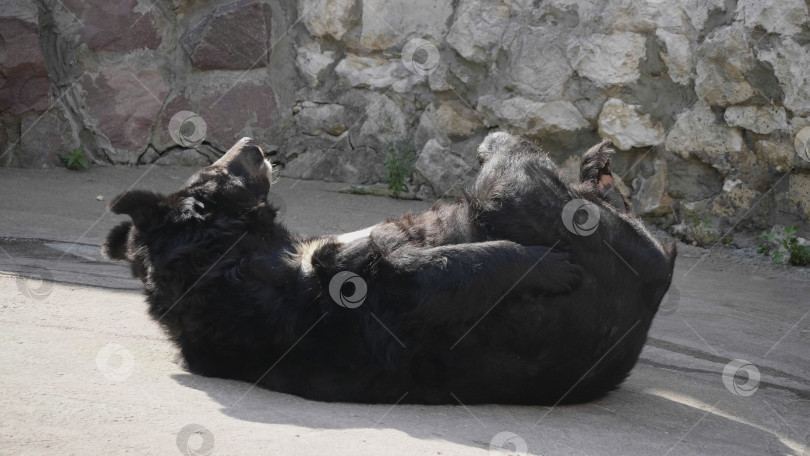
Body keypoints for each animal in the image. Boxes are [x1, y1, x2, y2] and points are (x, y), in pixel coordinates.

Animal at [105, 134, 676, 404]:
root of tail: (652, 296)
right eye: (215, 171)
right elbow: (424, 275)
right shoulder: (341, 293)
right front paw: (549, 268)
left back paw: (598, 170)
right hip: (582, 230)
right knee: (517, 183)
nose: (250, 144)